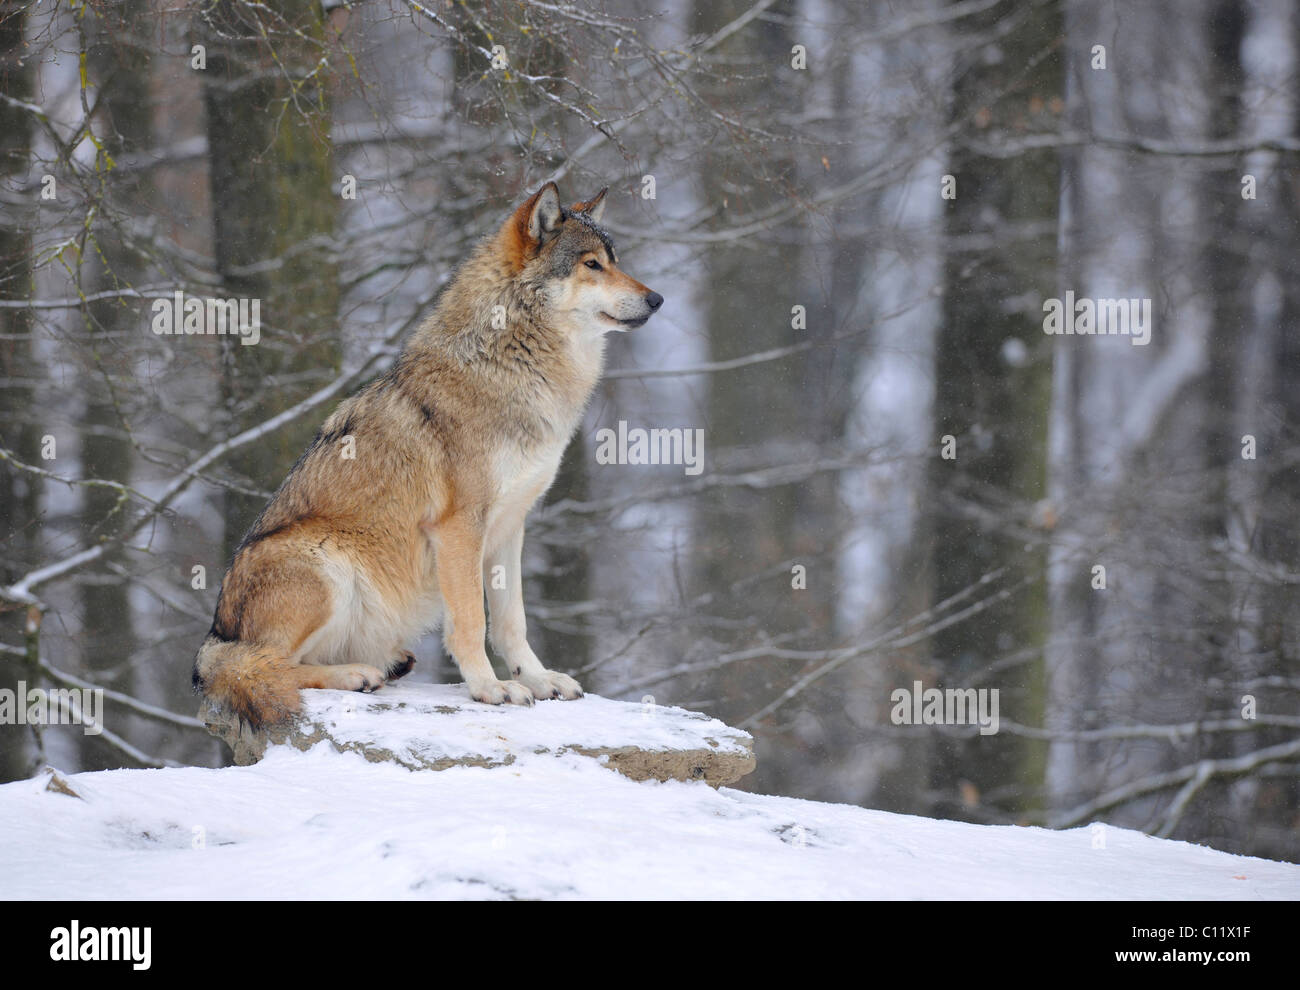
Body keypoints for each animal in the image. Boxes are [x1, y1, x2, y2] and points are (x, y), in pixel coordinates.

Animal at [192, 183, 662, 727]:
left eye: (615, 261)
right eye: (591, 264)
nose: (657, 299)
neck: (514, 362)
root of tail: (214, 639)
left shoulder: (510, 526)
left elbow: (511, 621)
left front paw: (537, 679)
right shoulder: (459, 527)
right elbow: (471, 621)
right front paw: (489, 688)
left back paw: (386, 665)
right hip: (323, 562)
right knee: (268, 666)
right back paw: (356, 675)